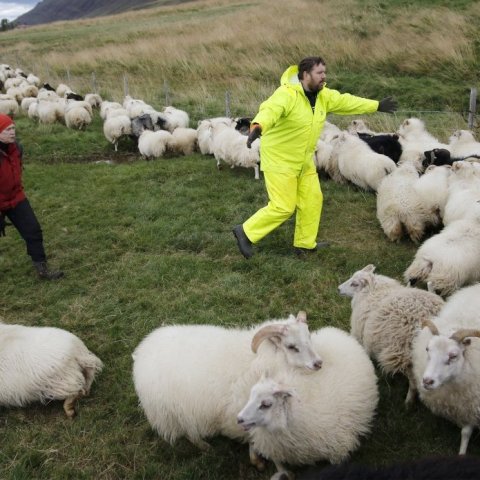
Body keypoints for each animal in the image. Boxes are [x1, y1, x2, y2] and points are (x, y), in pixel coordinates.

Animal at [236, 324, 378, 478]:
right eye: (251, 395)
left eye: (266, 404)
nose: (239, 419)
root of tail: (338, 333)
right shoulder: (276, 450)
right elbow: (281, 468)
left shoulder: (338, 448)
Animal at [336, 266, 444, 404]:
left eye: (354, 284)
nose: (338, 288)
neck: (373, 291)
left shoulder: (360, 333)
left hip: (404, 355)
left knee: (414, 384)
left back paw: (408, 402)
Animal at [410, 284, 480, 456]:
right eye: (427, 349)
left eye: (453, 356)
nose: (427, 381)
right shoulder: (466, 405)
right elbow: (466, 431)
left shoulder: (471, 401)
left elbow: (466, 432)